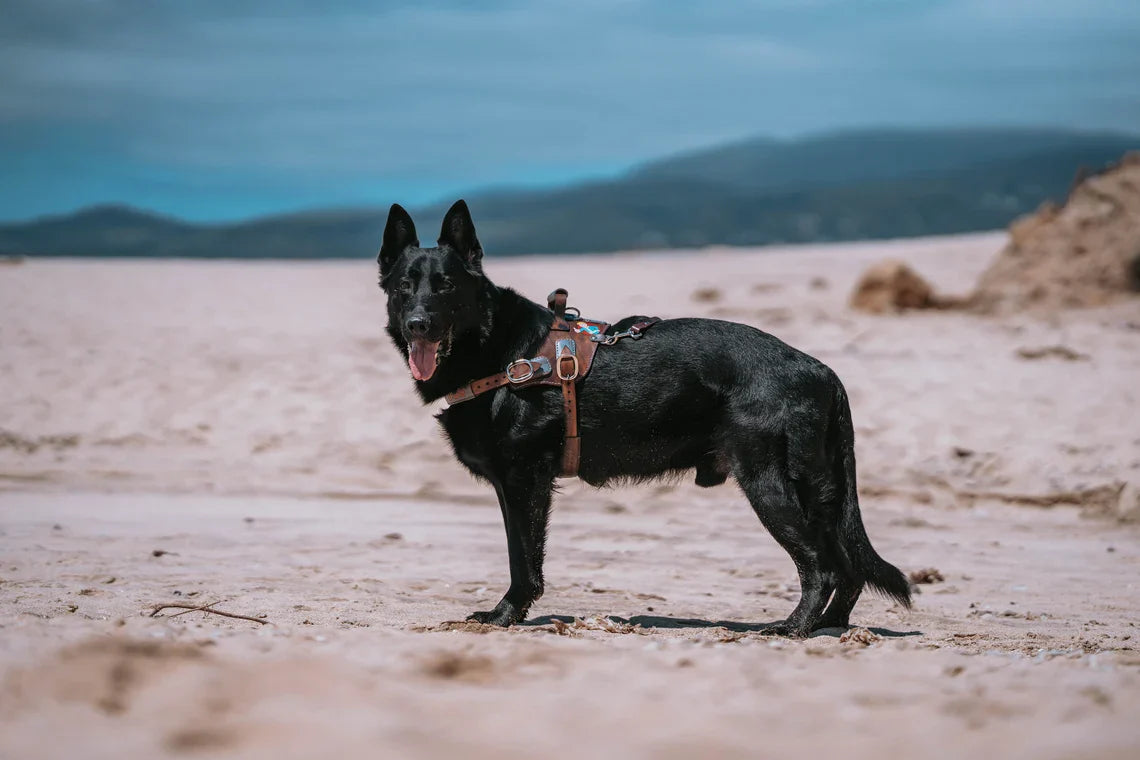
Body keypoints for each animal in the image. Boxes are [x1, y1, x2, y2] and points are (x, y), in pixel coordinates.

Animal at [378, 198, 912, 638]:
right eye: (404, 288)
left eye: (446, 286)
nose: (418, 324)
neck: (500, 352)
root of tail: (819, 369)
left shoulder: (523, 483)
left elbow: (523, 561)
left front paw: (506, 615)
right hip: (818, 491)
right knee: (847, 565)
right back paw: (832, 626)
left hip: (770, 485)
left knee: (821, 566)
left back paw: (794, 628)